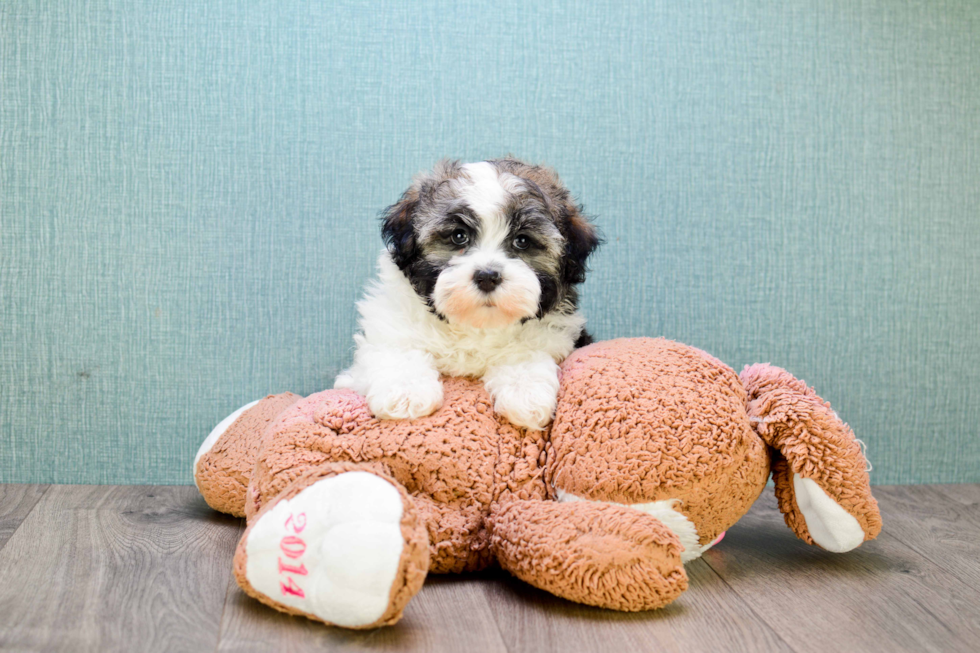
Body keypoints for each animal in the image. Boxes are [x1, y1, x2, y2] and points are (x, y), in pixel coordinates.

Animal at [334, 157, 596, 430]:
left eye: (522, 241)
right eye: (459, 236)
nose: (487, 276)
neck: (474, 325)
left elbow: (525, 350)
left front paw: (525, 393)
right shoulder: (389, 328)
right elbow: (397, 351)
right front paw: (406, 392)